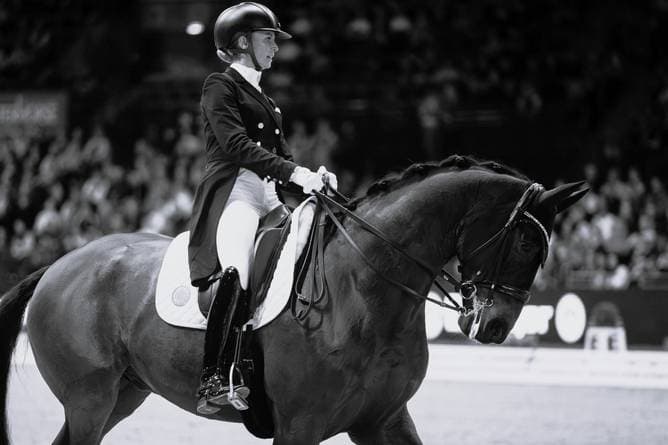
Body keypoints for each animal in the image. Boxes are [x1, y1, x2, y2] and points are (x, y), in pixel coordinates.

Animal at [0, 155, 588, 445]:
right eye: (527, 243)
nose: (495, 327)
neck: (365, 291)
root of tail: (59, 264)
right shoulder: (299, 427)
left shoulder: (384, 419)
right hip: (90, 400)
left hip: (122, 395)